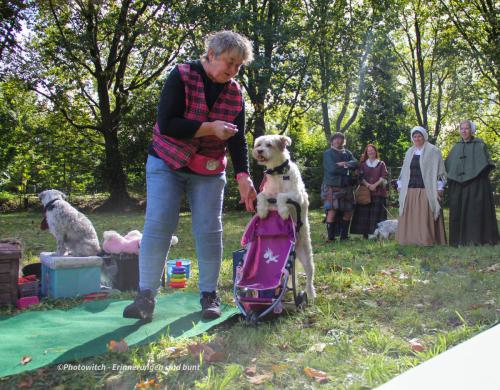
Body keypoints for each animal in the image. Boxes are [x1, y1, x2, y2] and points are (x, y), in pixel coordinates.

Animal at [252, 135, 314, 298]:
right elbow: (261, 196)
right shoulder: (268, 195)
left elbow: (282, 196)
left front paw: (284, 212)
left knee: (310, 275)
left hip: (306, 257)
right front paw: (261, 210)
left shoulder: (297, 196)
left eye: (269, 145)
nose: (259, 151)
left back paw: (311, 293)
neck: (278, 174)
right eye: (258, 145)